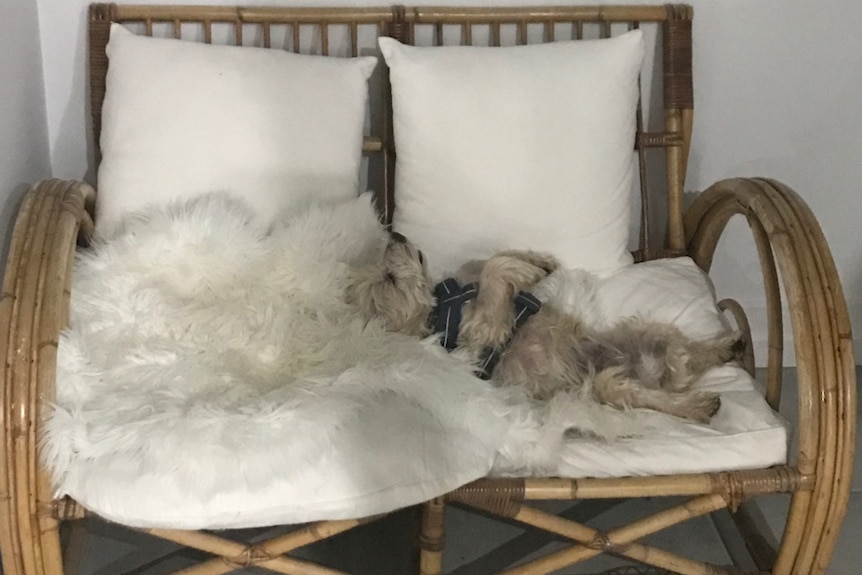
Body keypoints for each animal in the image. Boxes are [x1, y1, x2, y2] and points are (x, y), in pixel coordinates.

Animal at [348, 232, 740, 426]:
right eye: (390, 278)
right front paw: (528, 269)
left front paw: (538, 263)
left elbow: (488, 261)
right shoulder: (481, 331)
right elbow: (493, 273)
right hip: (608, 385)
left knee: (684, 358)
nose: (396, 236)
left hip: (645, 332)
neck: (443, 303)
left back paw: (724, 349)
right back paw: (700, 405)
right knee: (657, 393)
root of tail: (651, 371)